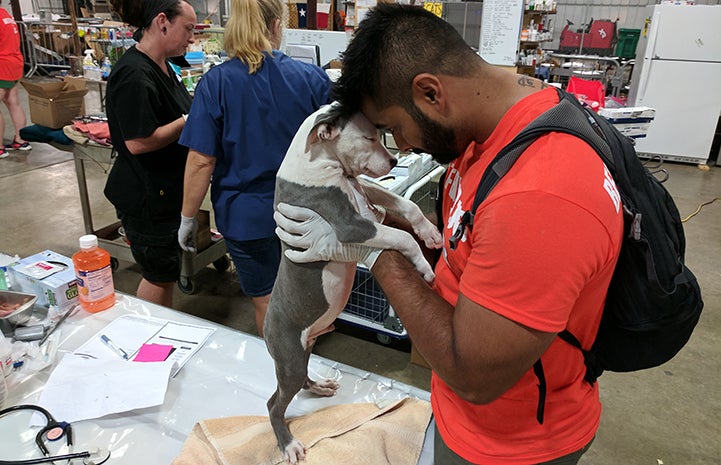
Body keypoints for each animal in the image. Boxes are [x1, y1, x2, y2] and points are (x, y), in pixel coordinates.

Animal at [264, 103, 442, 462]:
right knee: (274, 403)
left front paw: (429, 231)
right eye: (370, 137)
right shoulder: (351, 225)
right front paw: (423, 265)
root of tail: (264, 327)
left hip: (303, 349)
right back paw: (288, 444)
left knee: (298, 382)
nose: (393, 162)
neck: (316, 158)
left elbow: (406, 204)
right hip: (289, 357)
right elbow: (401, 237)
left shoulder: (365, 192)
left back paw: (320, 387)